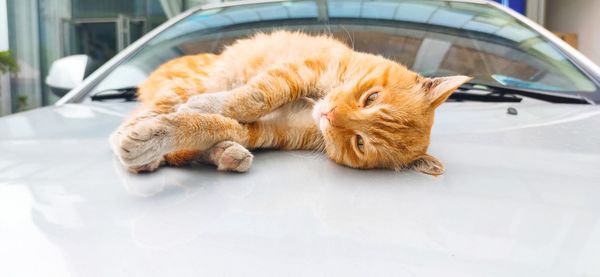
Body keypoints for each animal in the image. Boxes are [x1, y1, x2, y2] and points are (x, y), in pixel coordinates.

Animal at [110, 30, 472, 175]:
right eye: (371, 98)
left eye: (360, 143)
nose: (329, 113)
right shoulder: (302, 70)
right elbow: (254, 96)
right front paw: (205, 106)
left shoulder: (269, 131)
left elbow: (211, 125)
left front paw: (196, 122)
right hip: (187, 84)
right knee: (137, 118)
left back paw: (225, 153)